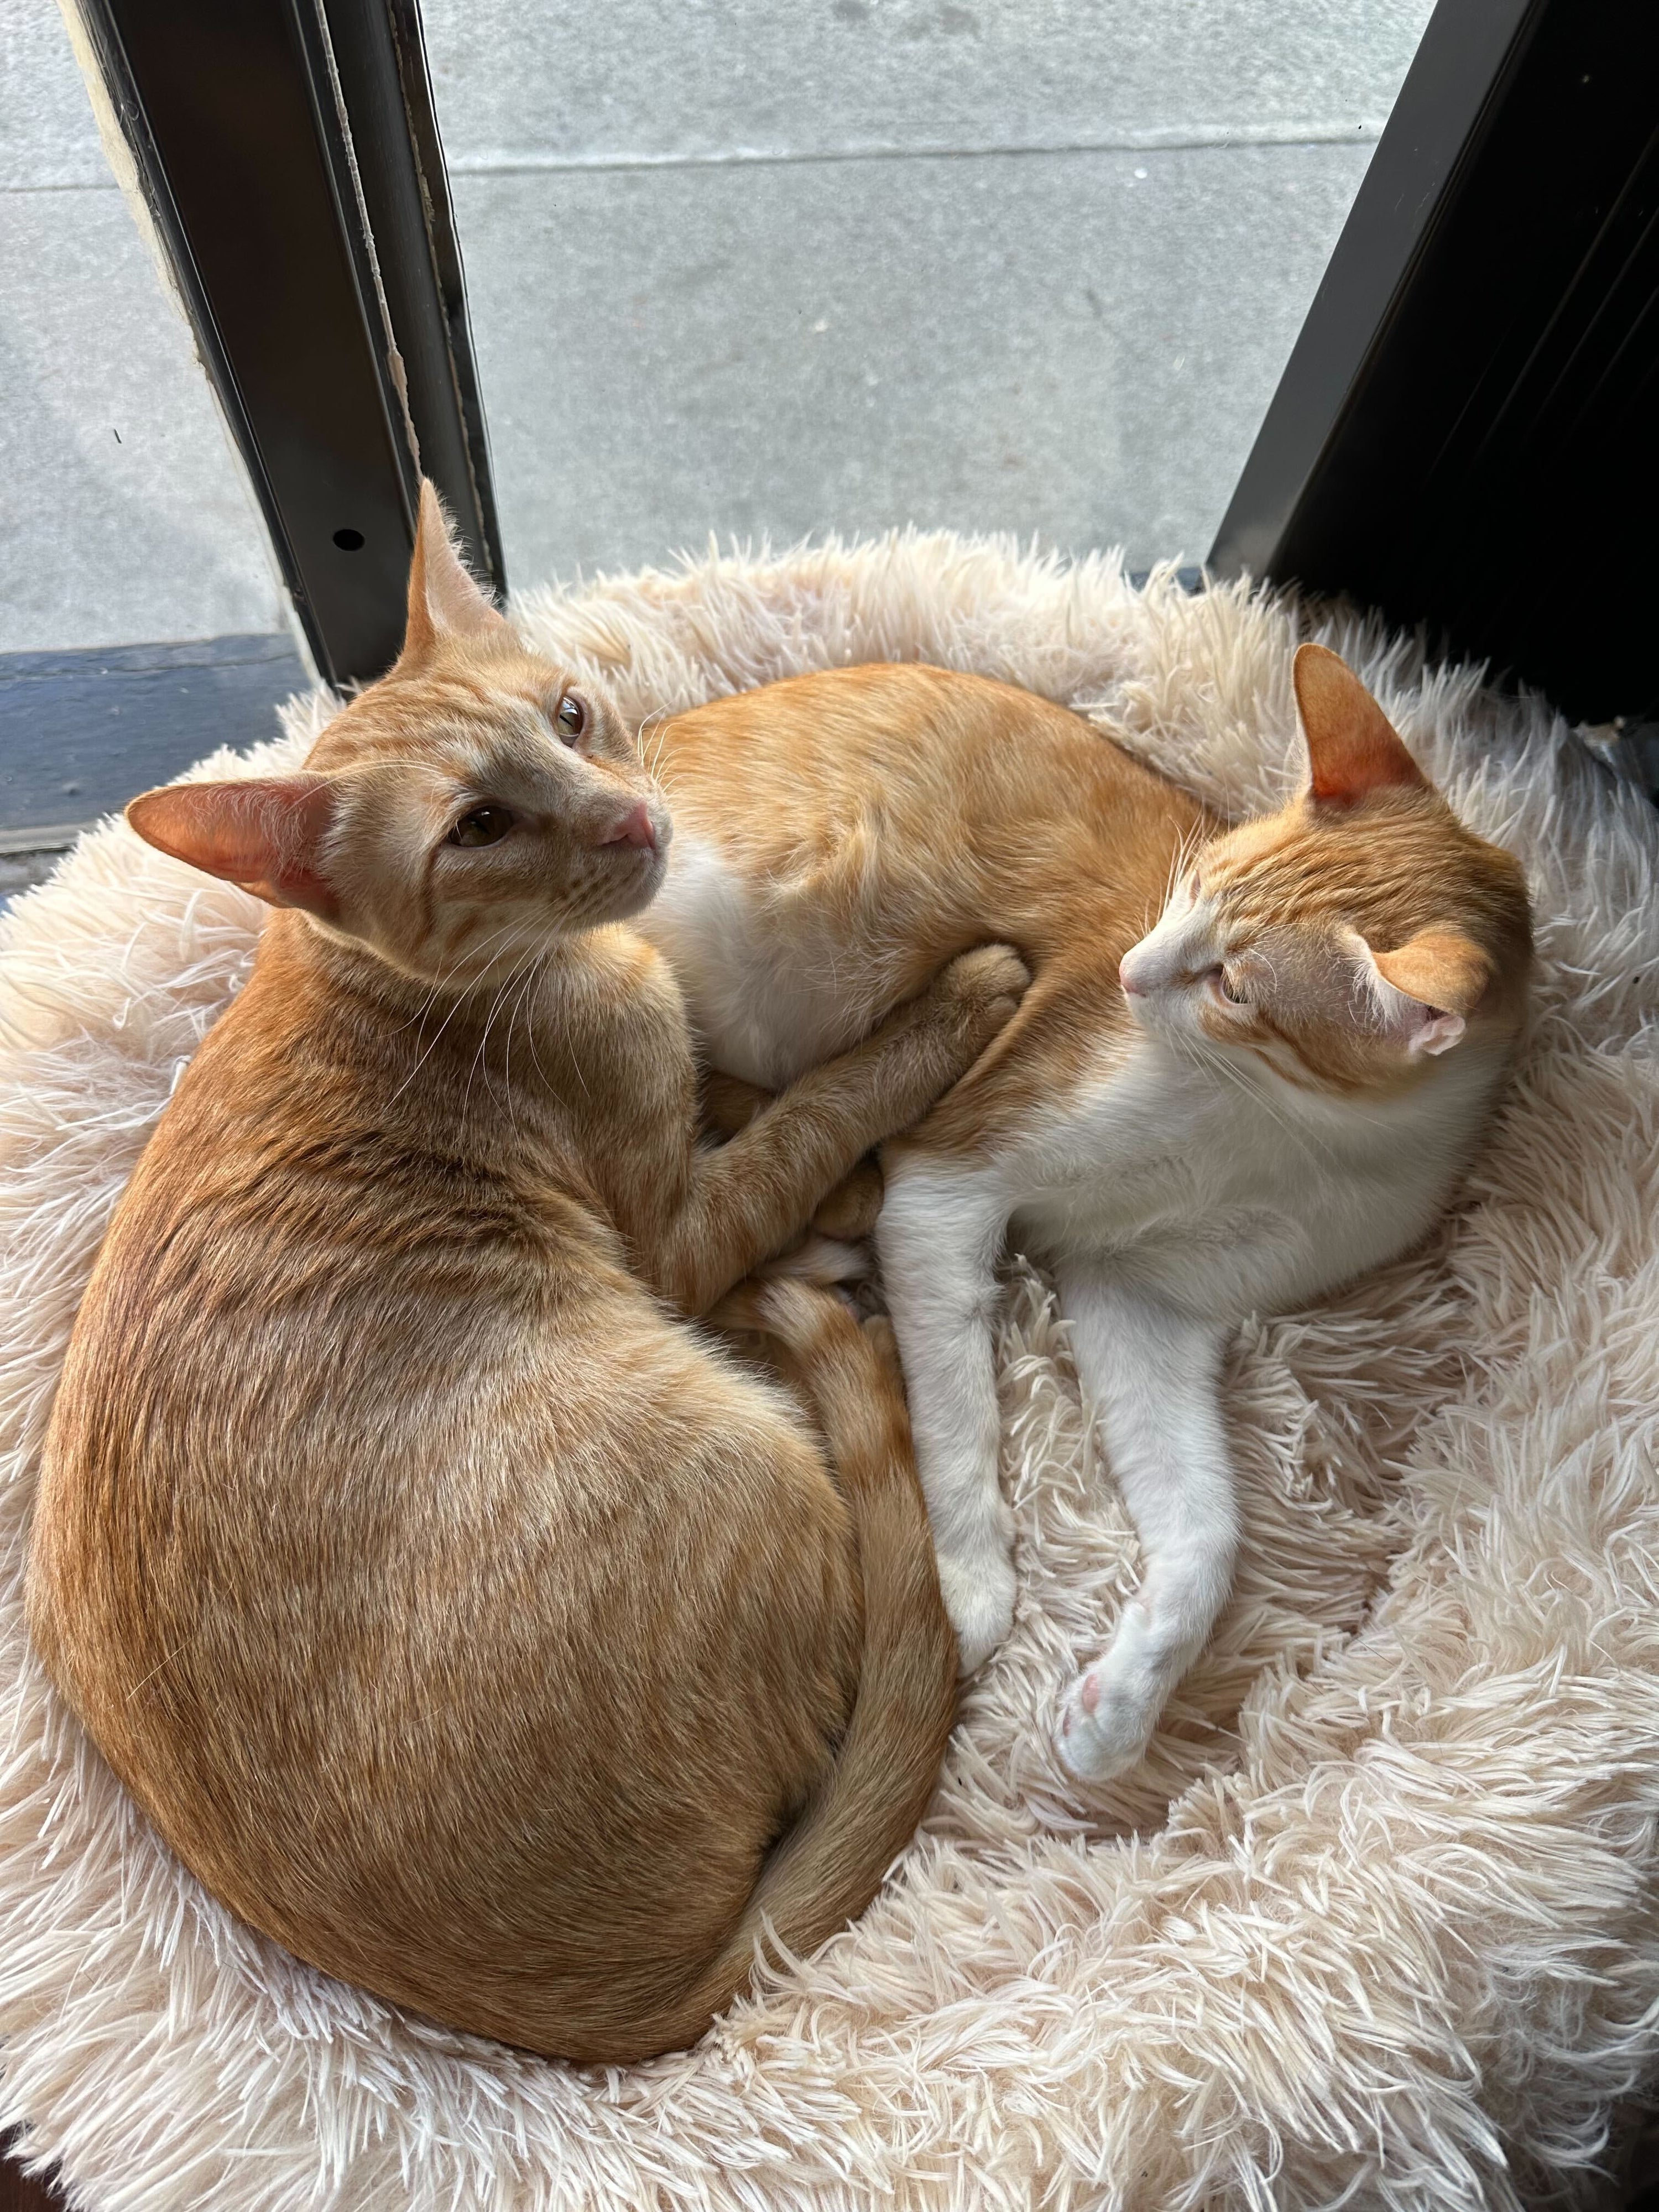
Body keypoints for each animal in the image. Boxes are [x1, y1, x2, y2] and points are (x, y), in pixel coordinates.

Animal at [29, 489, 1040, 2070]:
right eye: (478, 828)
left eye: (570, 714)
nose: (630, 817)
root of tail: (622, 2007)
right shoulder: (676, 1227)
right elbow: (819, 1111)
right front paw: (951, 1016)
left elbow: (750, 1090)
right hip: (738, 1433)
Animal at [637, 641, 1531, 1778]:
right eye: (1190, 885)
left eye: (1235, 987)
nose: (1130, 970)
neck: (1281, 1135)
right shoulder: (950, 1180)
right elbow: (958, 1407)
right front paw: (969, 1585)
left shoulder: (1139, 1301)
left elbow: (1209, 1531)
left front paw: (1126, 1698)